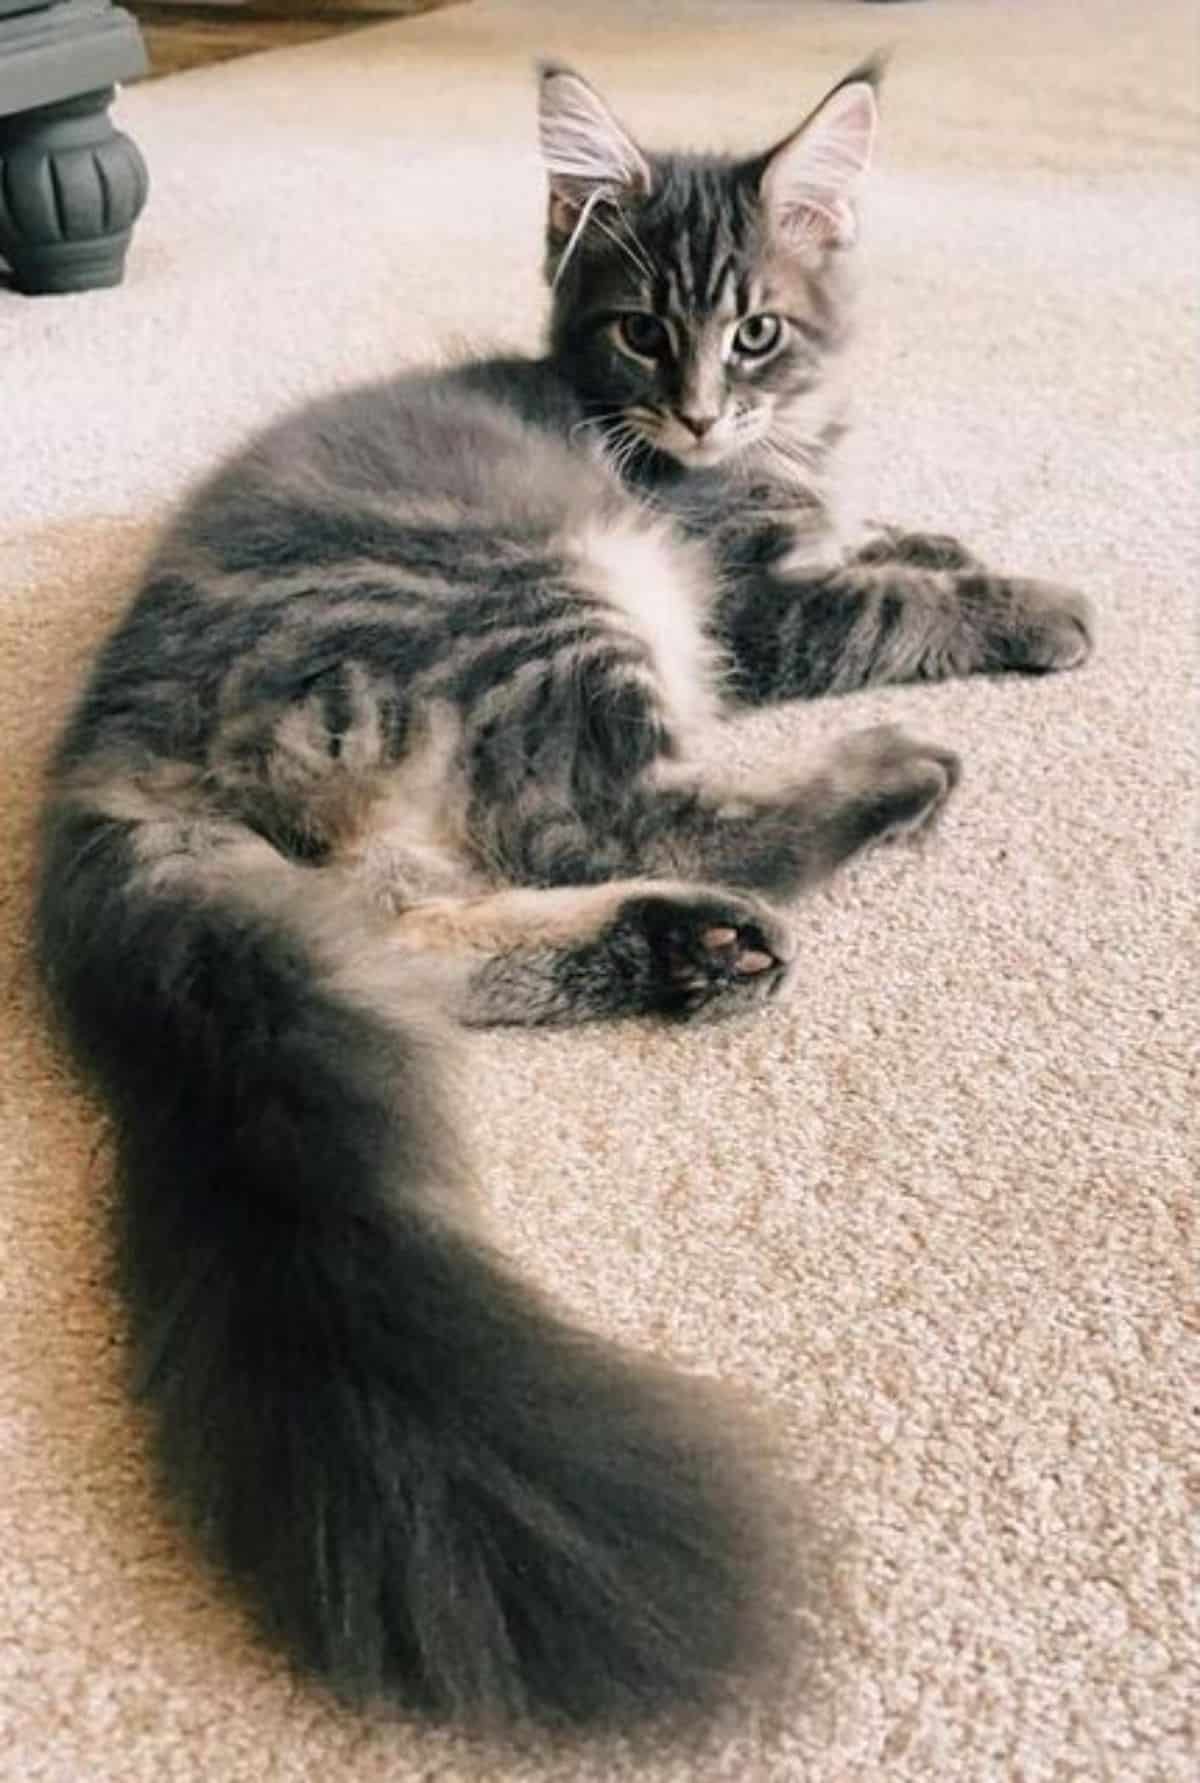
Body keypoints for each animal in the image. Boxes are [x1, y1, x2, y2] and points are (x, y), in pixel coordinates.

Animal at [35, 62, 1084, 1733]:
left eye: (757, 330)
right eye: (643, 331)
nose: (701, 410)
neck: (749, 455)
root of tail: (109, 754)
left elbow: (886, 536)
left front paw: (934, 528)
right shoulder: (749, 602)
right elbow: (888, 596)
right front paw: (1037, 603)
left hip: (402, 830)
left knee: (427, 928)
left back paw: (679, 950)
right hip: (547, 596)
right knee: (618, 816)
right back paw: (876, 795)